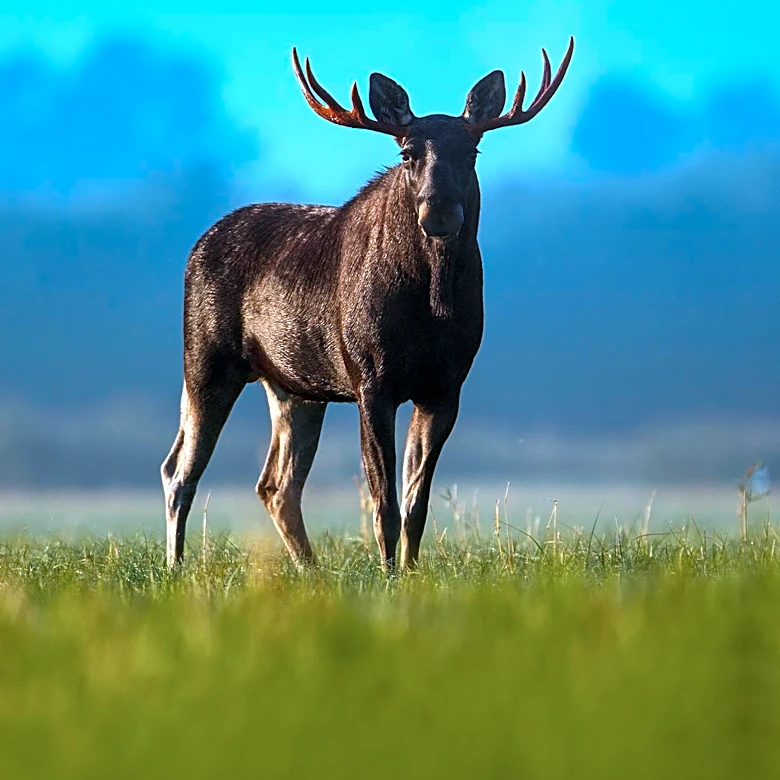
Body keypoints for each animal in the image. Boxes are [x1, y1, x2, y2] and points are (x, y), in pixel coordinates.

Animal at [161, 38, 575, 571]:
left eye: (473, 150)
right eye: (406, 152)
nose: (439, 210)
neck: (432, 309)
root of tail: (196, 246)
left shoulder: (445, 387)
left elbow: (417, 504)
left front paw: (413, 574)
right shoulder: (371, 380)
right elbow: (385, 505)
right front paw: (388, 576)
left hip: (295, 387)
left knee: (275, 484)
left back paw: (310, 569)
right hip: (206, 359)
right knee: (180, 470)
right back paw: (175, 567)